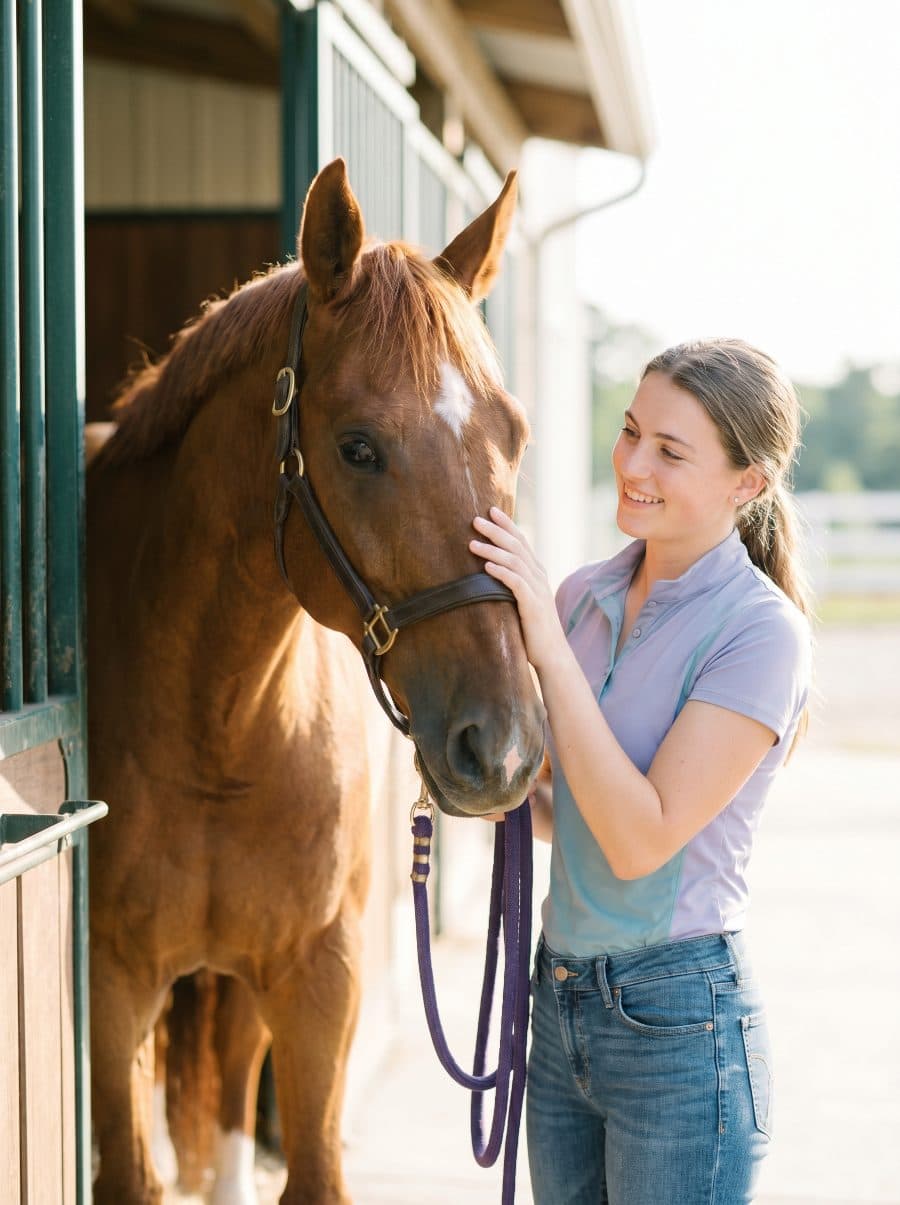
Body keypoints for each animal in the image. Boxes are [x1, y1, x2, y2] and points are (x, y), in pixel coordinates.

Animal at [85, 157, 546, 1204]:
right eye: (358, 446)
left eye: (515, 435)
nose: (501, 751)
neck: (221, 718)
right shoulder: (111, 986)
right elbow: (132, 1170)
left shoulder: (320, 979)